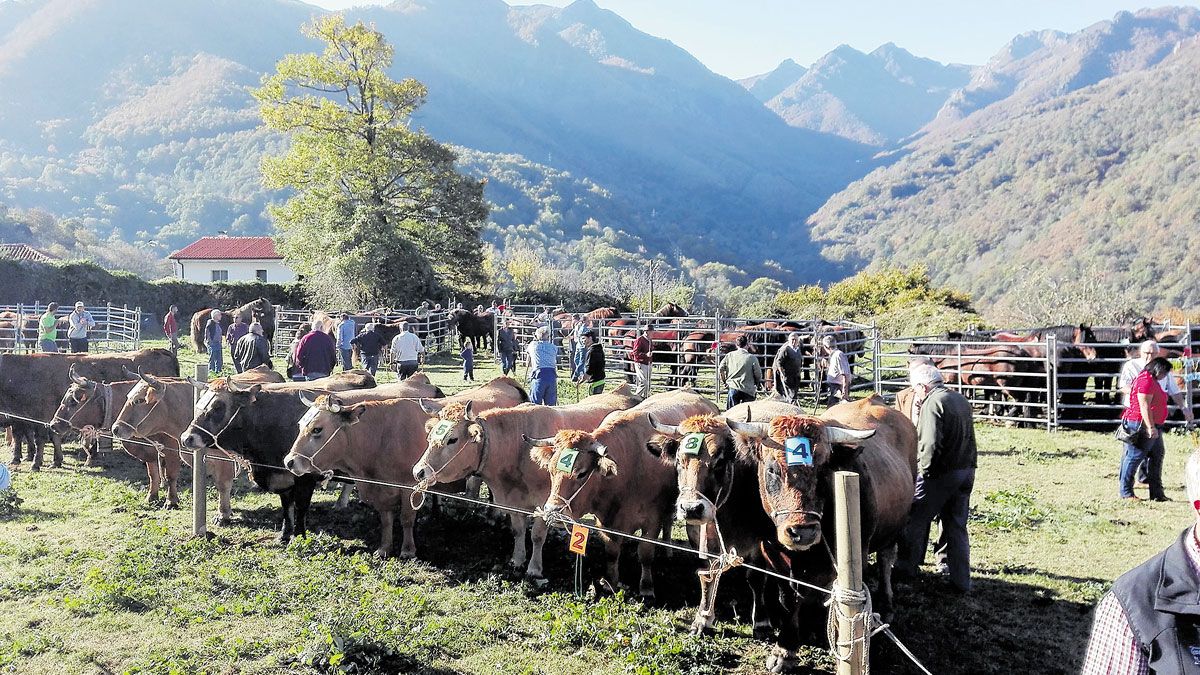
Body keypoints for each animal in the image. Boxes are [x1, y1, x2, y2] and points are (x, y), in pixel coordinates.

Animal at [283, 374, 528, 554]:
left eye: (317, 429)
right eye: (300, 424)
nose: (289, 461)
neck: (381, 435)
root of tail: (505, 382)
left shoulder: (410, 487)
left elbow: (407, 519)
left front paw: (408, 550)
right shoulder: (381, 489)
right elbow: (386, 519)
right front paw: (384, 548)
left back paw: (494, 515)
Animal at [412, 381, 643, 576]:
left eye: (452, 439)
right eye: (430, 436)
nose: (419, 471)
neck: (518, 448)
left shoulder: (545, 503)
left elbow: (537, 535)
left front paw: (534, 568)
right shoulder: (514, 502)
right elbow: (518, 530)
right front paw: (517, 559)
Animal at [530, 386, 715, 595]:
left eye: (581, 473)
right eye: (551, 471)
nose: (552, 512)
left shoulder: (652, 519)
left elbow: (645, 552)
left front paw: (646, 586)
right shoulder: (606, 521)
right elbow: (612, 552)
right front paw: (610, 582)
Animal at [724, 396, 912, 667]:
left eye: (823, 470)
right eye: (772, 469)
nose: (802, 532)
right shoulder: (772, 554)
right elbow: (788, 598)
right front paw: (785, 648)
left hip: (894, 529)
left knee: (886, 561)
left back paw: (886, 605)